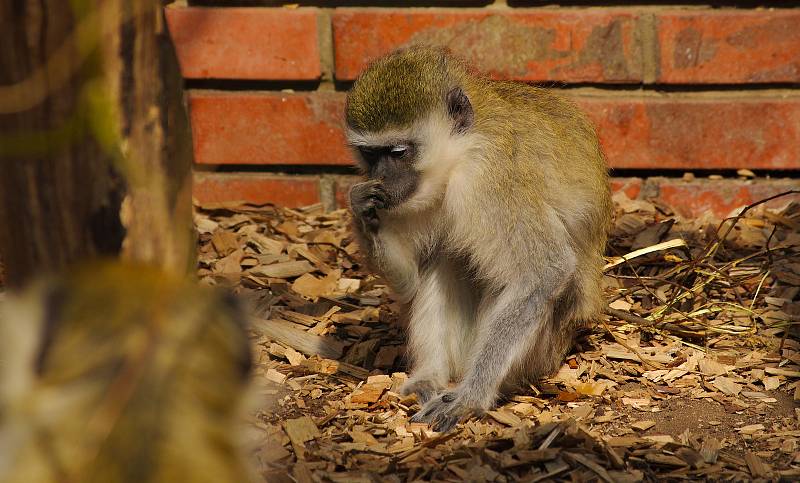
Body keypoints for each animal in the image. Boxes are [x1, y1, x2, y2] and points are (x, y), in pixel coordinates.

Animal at [346, 46, 612, 432]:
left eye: (398, 152)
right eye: (370, 154)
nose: (381, 177)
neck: (460, 156)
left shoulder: (492, 179)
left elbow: (544, 272)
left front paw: (471, 395)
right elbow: (410, 282)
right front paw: (361, 207)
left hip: (544, 350)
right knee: (443, 258)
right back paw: (429, 377)